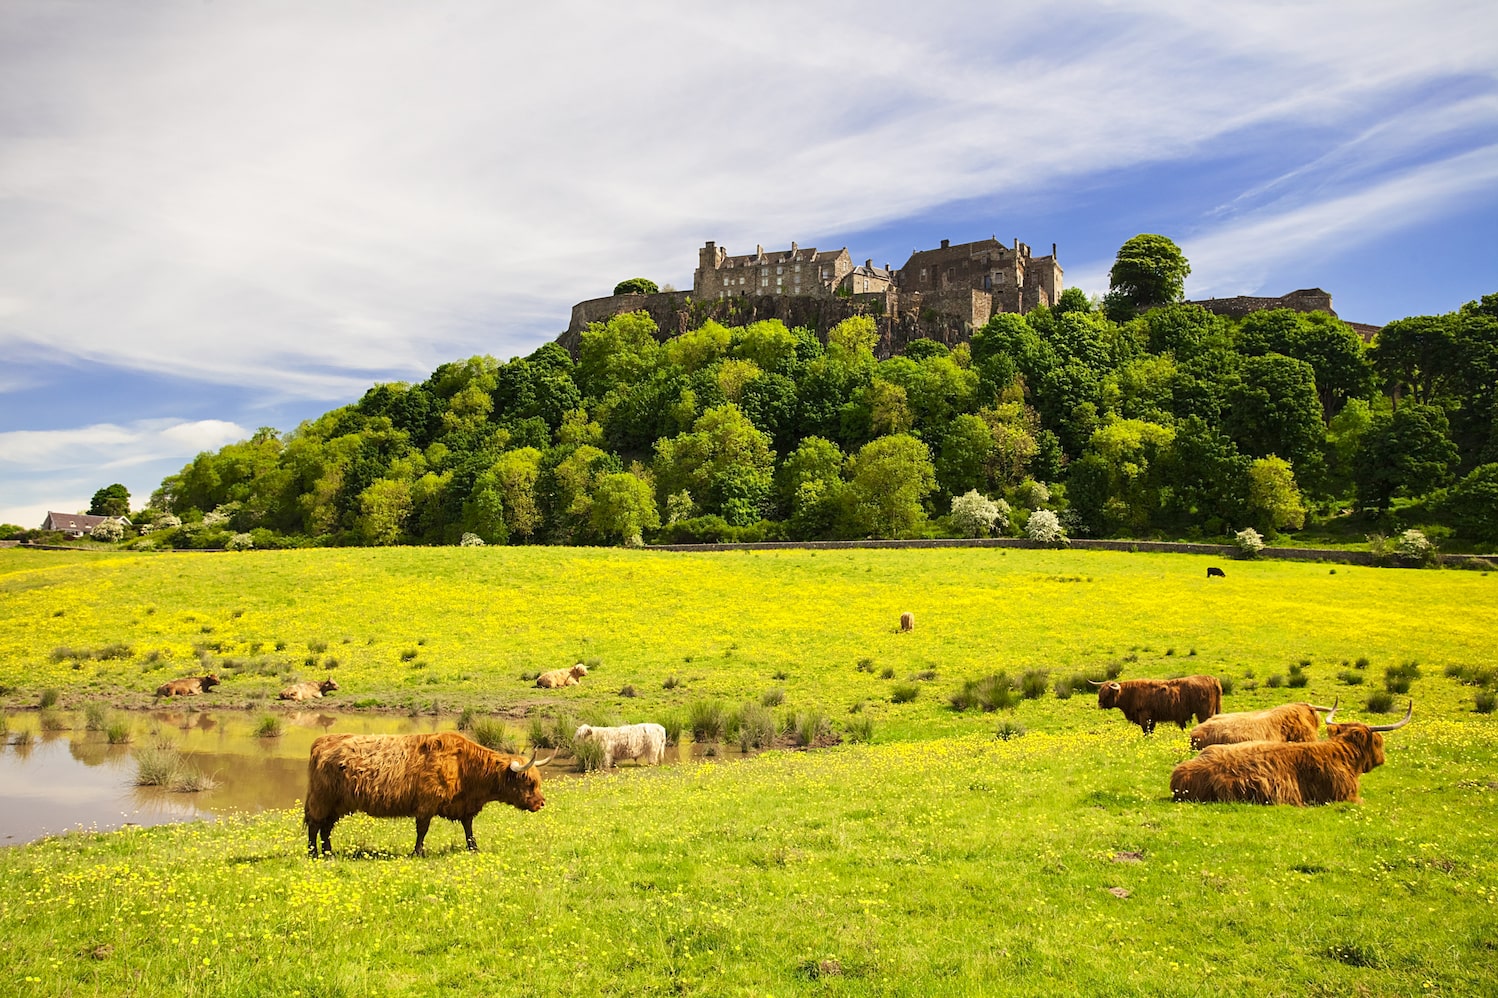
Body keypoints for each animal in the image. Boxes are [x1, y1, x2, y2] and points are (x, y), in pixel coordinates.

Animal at [304, 722, 557, 857]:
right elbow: (422, 831)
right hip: (322, 799)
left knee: (326, 828)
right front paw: (418, 853)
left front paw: (473, 848)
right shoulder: (427, 804)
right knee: (315, 825)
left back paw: (329, 853)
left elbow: (468, 829)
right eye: (529, 783)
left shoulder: (464, 807)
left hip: (337, 804)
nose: (541, 803)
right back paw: (314, 853)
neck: (465, 767)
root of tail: (322, 741)